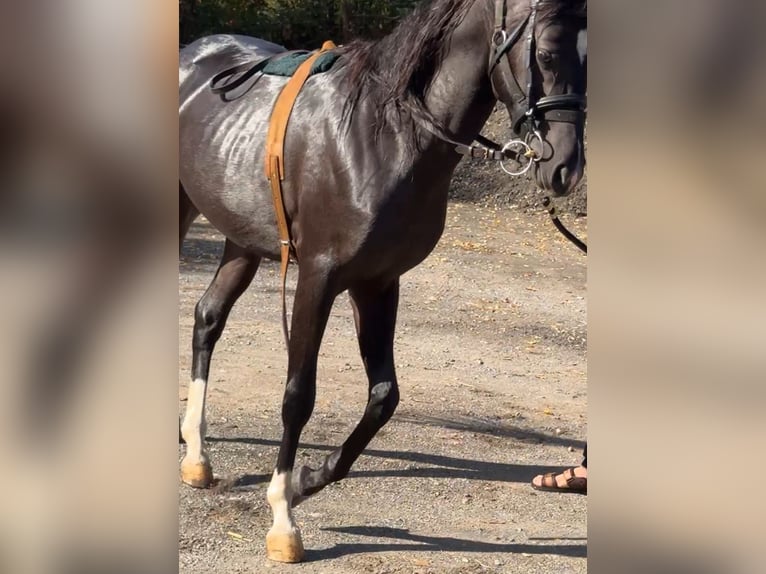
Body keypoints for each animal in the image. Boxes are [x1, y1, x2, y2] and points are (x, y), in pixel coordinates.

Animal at [179, 0, 586, 562]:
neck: (382, 136)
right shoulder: (318, 278)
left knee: (208, 318)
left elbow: (383, 397)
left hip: (242, 241)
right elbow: (298, 396)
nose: (567, 166)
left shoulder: (377, 282)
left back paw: (196, 456)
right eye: (545, 53)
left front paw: (309, 479)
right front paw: (283, 517)